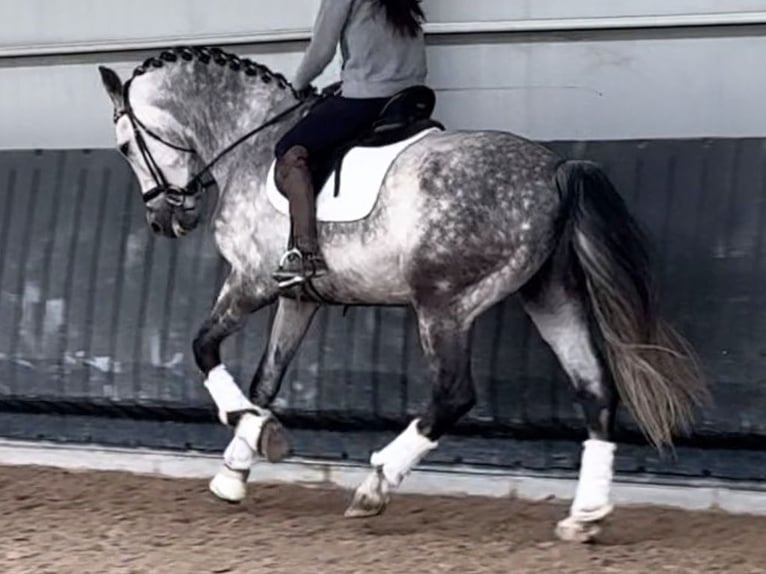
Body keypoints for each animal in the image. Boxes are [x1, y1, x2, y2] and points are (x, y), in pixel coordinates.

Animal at [97, 46, 708, 544]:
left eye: (126, 145)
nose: (164, 220)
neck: (251, 140)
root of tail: (556, 168)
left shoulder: (250, 282)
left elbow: (204, 349)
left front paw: (252, 438)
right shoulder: (298, 298)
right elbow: (266, 381)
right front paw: (235, 470)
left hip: (443, 305)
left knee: (454, 395)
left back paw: (374, 486)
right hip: (549, 296)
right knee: (596, 391)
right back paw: (585, 518)